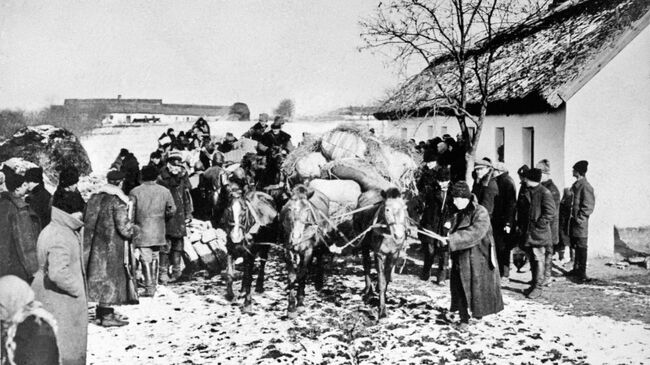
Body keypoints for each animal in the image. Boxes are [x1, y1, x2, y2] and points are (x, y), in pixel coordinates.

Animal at [278, 185, 330, 316]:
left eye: (307, 210)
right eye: (290, 209)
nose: (296, 237)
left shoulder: (308, 250)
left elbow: (303, 273)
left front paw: (300, 302)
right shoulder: (288, 249)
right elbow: (292, 276)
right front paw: (291, 306)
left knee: (319, 255)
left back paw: (319, 282)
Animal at [352, 186, 408, 318]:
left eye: (404, 208)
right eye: (387, 209)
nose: (399, 235)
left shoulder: (394, 254)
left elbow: (386, 278)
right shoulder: (379, 254)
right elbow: (382, 280)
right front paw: (382, 309)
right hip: (364, 243)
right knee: (366, 264)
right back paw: (368, 289)